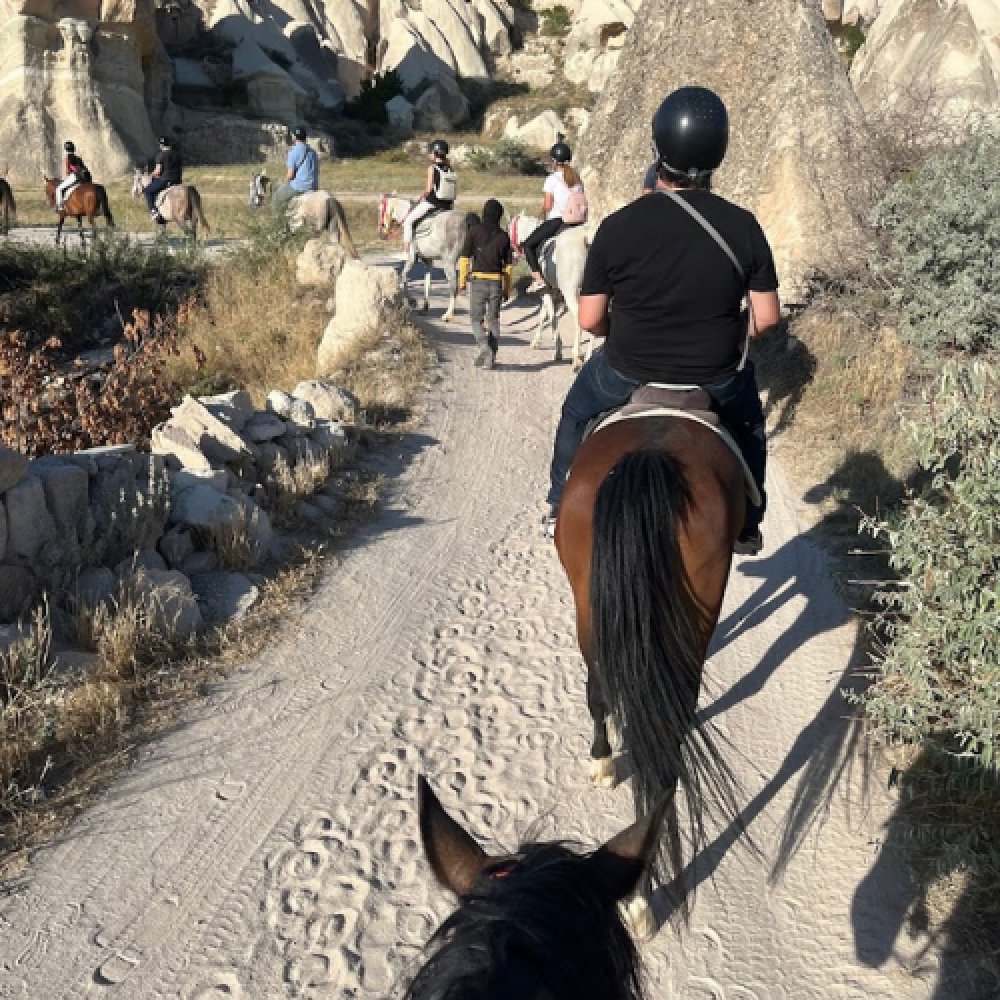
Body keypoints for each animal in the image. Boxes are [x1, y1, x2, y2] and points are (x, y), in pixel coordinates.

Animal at [378, 194, 468, 322]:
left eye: (380, 209)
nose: (381, 234)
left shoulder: (411, 258)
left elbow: (403, 276)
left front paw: (412, 301)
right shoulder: (428, 261)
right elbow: (427, 283)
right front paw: (425, 307)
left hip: (449, 262)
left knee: (453, 286)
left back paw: (448, 315)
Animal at [510, 213, 592, 370]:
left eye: (509, 229)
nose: (513, 256)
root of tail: (586, 239)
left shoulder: (547, 292)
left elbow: (551, 317)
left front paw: (558, 351)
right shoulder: (552, 293)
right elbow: (543, 315)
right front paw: (536, 341)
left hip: (570, 292)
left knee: (579, 319)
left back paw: (576, 358)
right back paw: (589, 356)